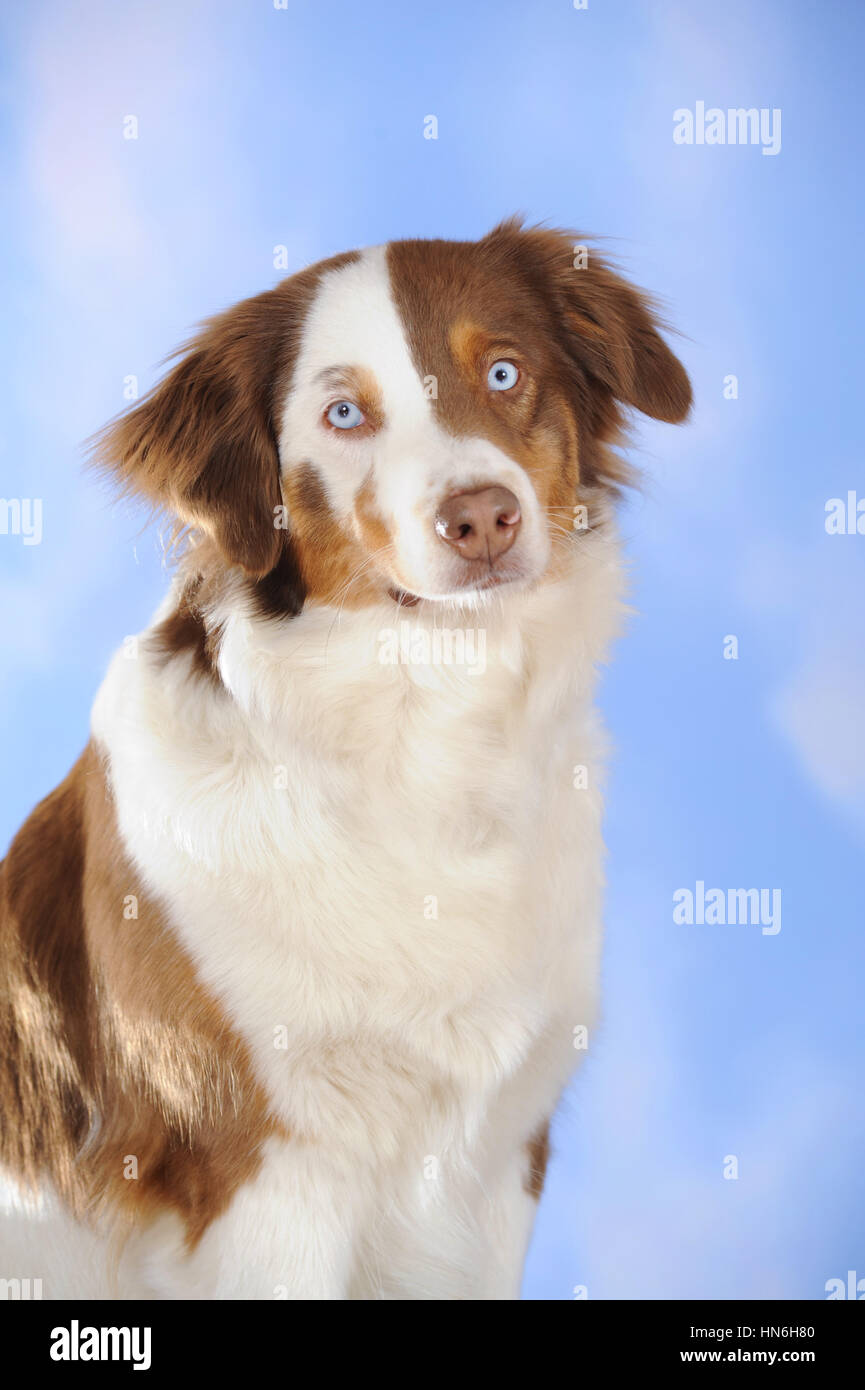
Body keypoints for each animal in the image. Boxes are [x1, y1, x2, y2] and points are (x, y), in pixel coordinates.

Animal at [0, 214, 692, 1289]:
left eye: (503, 372)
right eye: (343, 414)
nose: (482, 518)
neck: (424, 737)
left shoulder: (501, 1157)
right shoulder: (262, 1169)